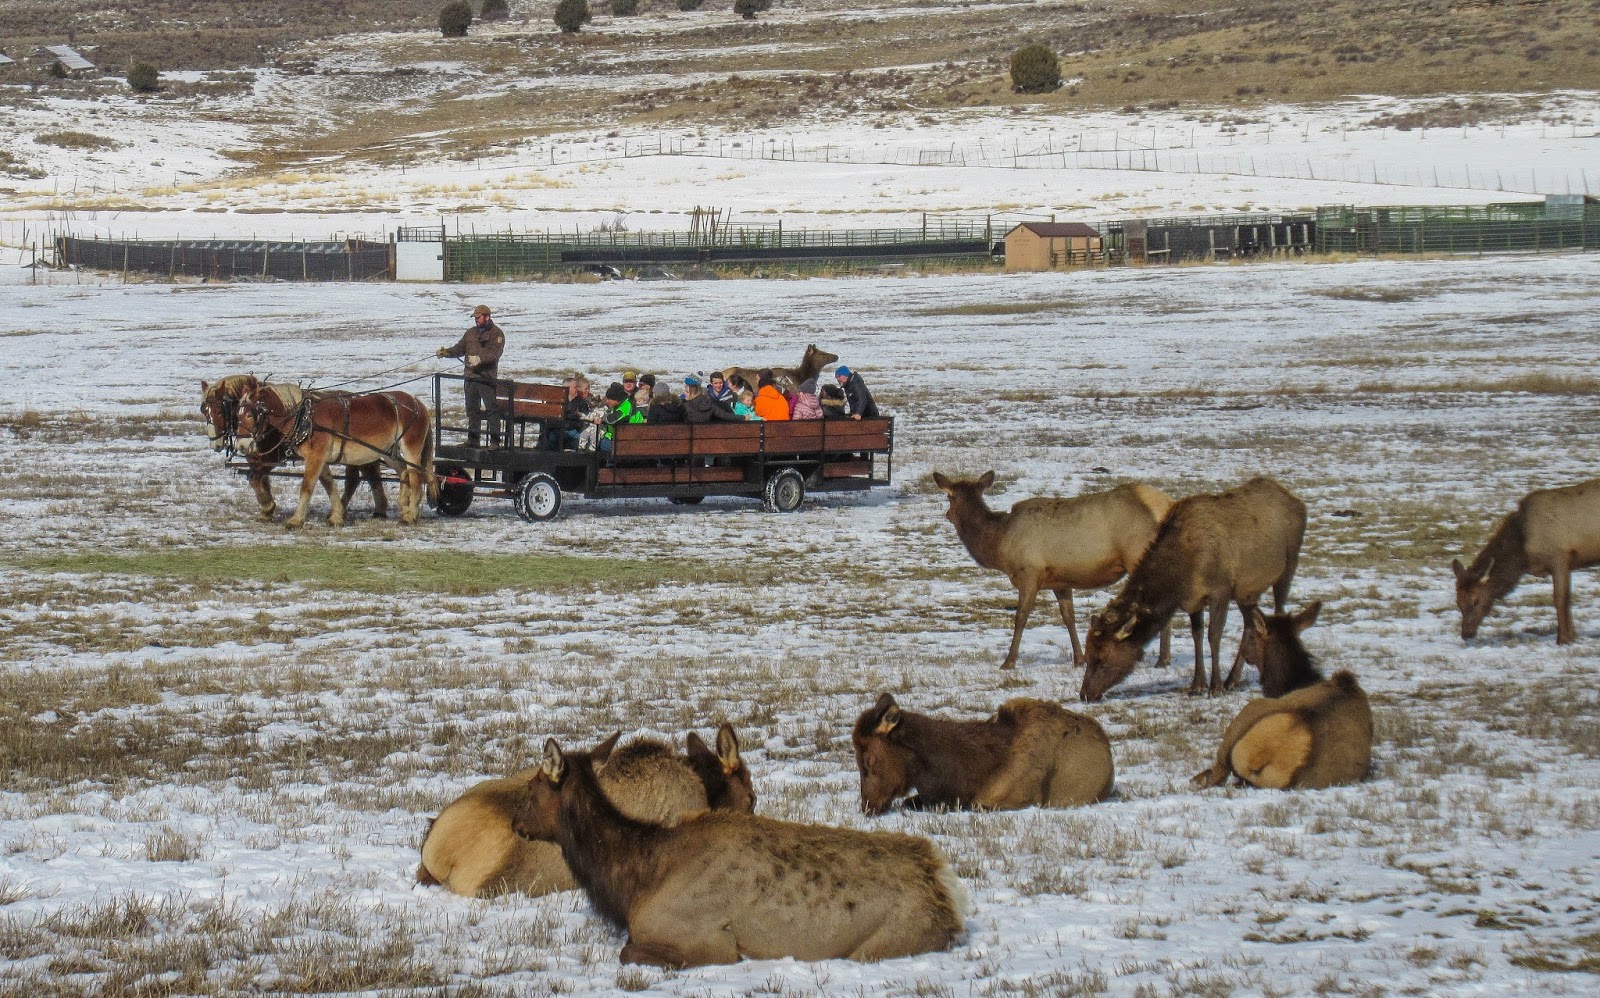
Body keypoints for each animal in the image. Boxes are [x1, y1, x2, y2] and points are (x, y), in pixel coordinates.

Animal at [511, 737, 968, 967]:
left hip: (883, 943)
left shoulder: (706, 941)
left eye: (531, 788)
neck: (632, 884)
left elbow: (627, 952)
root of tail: (944, 887)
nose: (516, 824)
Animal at [931, 471, 1175, 670]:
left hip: (1136, 553)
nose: (947, 515)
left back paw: (1163, 659)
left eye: (949, 497)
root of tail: (1166, 504)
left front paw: (1008, 662)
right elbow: (1069, 617)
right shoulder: (1061, 580)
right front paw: (1080, 659)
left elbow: (1021, 617)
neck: (1000, 543)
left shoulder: (1030, 571)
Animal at [1080, 476, 1307, 702]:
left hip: (1288, 567)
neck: (1182, 574)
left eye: (1102, 659)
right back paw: (1232, 680)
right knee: (1251, 624)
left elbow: (1213, 636)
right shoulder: (1193, 600)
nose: (1084, 694)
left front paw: (1215, 687)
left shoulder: (1221, 591)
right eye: (1088, 654)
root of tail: (1298, 502)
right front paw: (1197, 685)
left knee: (1279, 611)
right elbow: (1197, 636)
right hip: (1247, 592)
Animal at [1451, 479, 1600, 645]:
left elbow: (1561, 599)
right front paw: (1572, 636)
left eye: (1476, 600)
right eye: (1458, 602)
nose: (1466, 634)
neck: (1521, 555)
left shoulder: (1559, 558)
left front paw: (1563, 639)